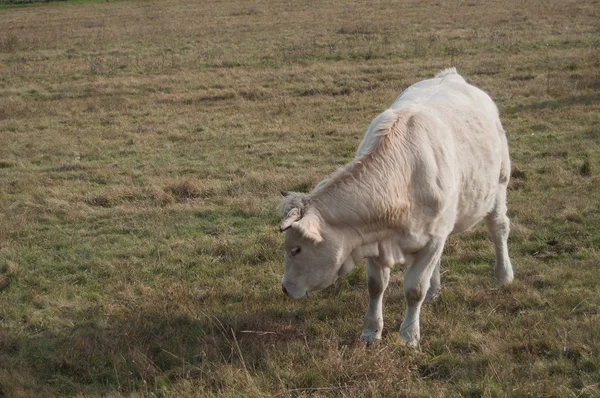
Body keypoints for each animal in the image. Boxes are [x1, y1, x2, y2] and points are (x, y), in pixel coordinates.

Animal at [278, 68, 512, 346]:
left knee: (498, 229)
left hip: (499, 185)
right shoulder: (372, 239)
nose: (284, 288)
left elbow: (414, 289)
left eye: (296, 249)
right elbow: (376, 286)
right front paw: (371, 332)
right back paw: (435, 291)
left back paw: (503, 274)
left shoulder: (432, 240)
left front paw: (409, 335)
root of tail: (451, 75)